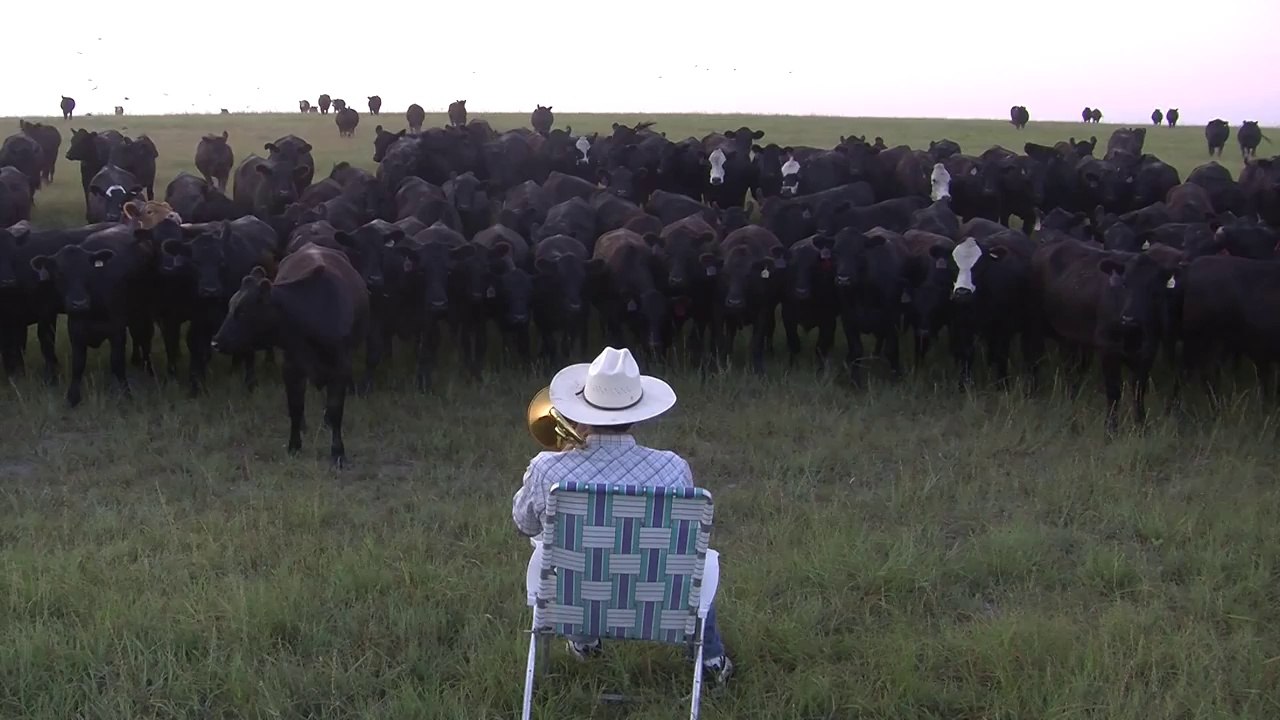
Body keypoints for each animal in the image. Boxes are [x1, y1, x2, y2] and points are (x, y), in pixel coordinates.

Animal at [211, 244, 369, 467]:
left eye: (242, 311)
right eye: (230, 307)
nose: (215, 342)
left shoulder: (340, 368)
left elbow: (336, 410)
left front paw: (338, 452)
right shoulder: (292, 368)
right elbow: (295, 407)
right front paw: (294, 446)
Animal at [1031, 237, 1171, 434]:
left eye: (1154, 290)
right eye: (1124, 284)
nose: (1129, 318)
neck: (1132, 335)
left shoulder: (1148, 351)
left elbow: (1138, 390)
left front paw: (1142, 426)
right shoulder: (1108, 348)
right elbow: (1114, 391)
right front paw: (1111, 429)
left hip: (1069, 337)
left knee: (1070, 367)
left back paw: (1071, 395)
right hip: (1035, 325)